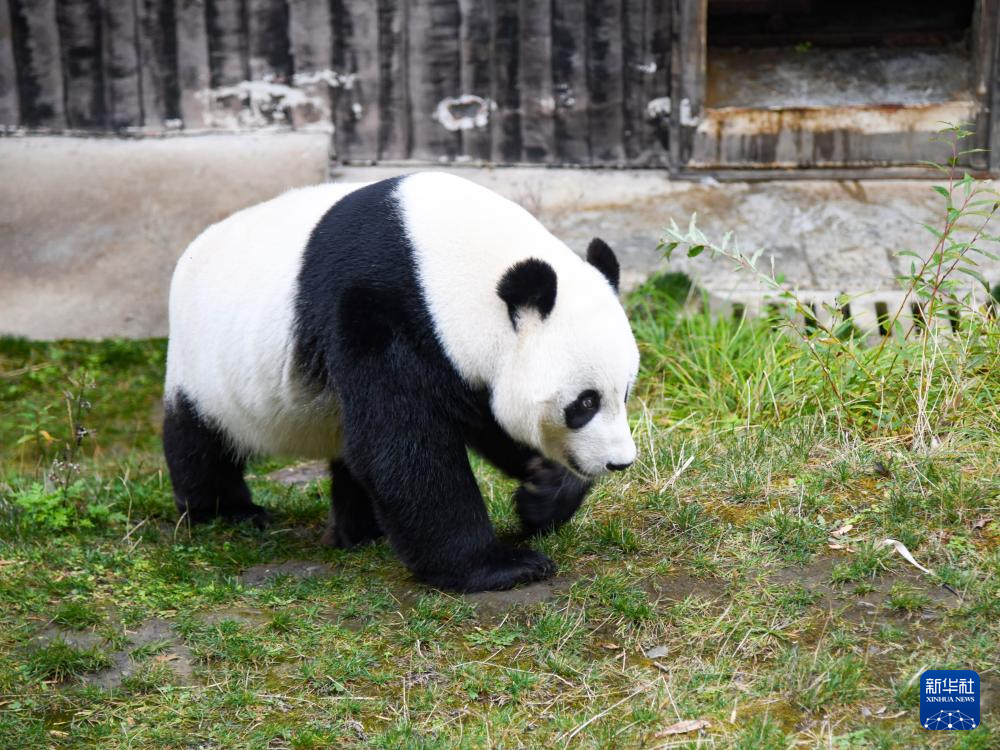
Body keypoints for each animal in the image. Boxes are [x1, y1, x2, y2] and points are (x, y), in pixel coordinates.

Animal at [160, 172, 636, 592]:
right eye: (584, 403)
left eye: (625, 392)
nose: (619, 463)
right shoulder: (378, 309)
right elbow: (404, 445)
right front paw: (500, 566)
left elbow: (486, 422)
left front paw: (542, 494)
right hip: (205, 365)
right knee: (201, 439)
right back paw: (226, 512)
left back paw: (359, 531)